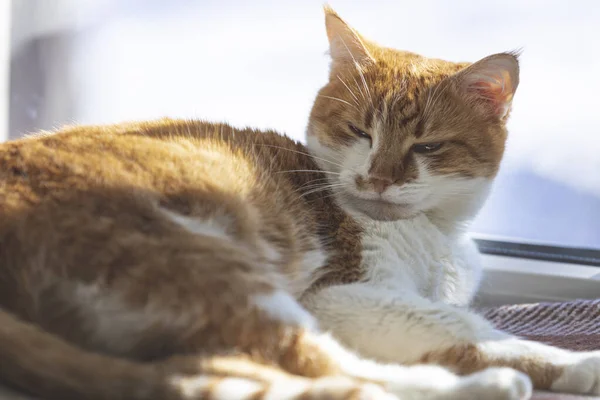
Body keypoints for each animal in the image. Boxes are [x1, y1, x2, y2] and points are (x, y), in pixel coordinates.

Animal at [0, 6, 596, 400]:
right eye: (360, 132)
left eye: (427, 147)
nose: (377, 178)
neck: (434, 238)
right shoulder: (336, 294)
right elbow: (469, 328)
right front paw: (577, 361)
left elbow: (454, 330)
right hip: (209, 266)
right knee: (319, 369)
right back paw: (482, 385)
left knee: (218, 373)